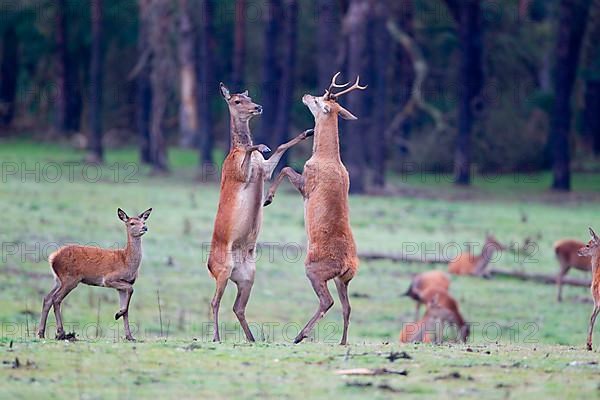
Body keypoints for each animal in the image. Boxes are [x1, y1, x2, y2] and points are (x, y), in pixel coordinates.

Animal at [37, 208, 152, 342]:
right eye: (132, 223)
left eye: (143, 221)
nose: (145, 227)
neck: (126, 260)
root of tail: (53, 257)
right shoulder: (109, 279)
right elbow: (130, 292)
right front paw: (117, 314)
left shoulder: (122, 286)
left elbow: (126, 309)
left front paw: (130, 336)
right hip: (69, 278)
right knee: (56, 299)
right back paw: (61, 333)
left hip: (58, 280)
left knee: (47, 298)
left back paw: (41, 333)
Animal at [206, 83, 314, 342]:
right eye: (236, 101)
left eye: (249, 97)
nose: (258, 107)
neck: (234, 151)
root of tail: (209, 266)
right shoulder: (239, 173)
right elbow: (251, 152)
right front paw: (262, 145)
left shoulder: (264, 170)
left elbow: (281, 150)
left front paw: (308, 131)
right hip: (223, 270)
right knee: (214, 302)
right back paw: (216, 337)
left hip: (247, 276)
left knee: (237, 306)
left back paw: (252, 338)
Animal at [266, 73, 368, 346]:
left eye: (318, 99)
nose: (304, 95)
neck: (326, 157)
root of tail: (348, 264)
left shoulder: (307, 183)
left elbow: (285, 169)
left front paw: (268, 198)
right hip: (344, 279)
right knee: (347, 307)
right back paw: (342, 342)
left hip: (314, 269)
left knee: (327, 301)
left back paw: (299, 336)